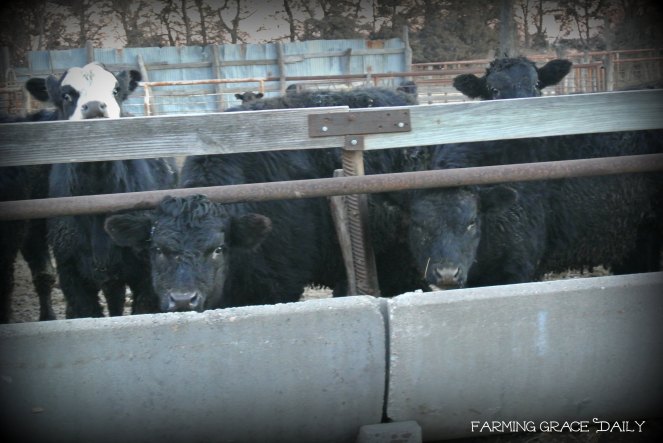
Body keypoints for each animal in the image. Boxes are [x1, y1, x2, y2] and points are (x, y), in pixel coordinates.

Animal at [25, 62, 178, 318]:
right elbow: (86, 311)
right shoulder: (70, 273)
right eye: (67, 95)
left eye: (115, 90)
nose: (95, 106)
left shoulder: (147, 273)